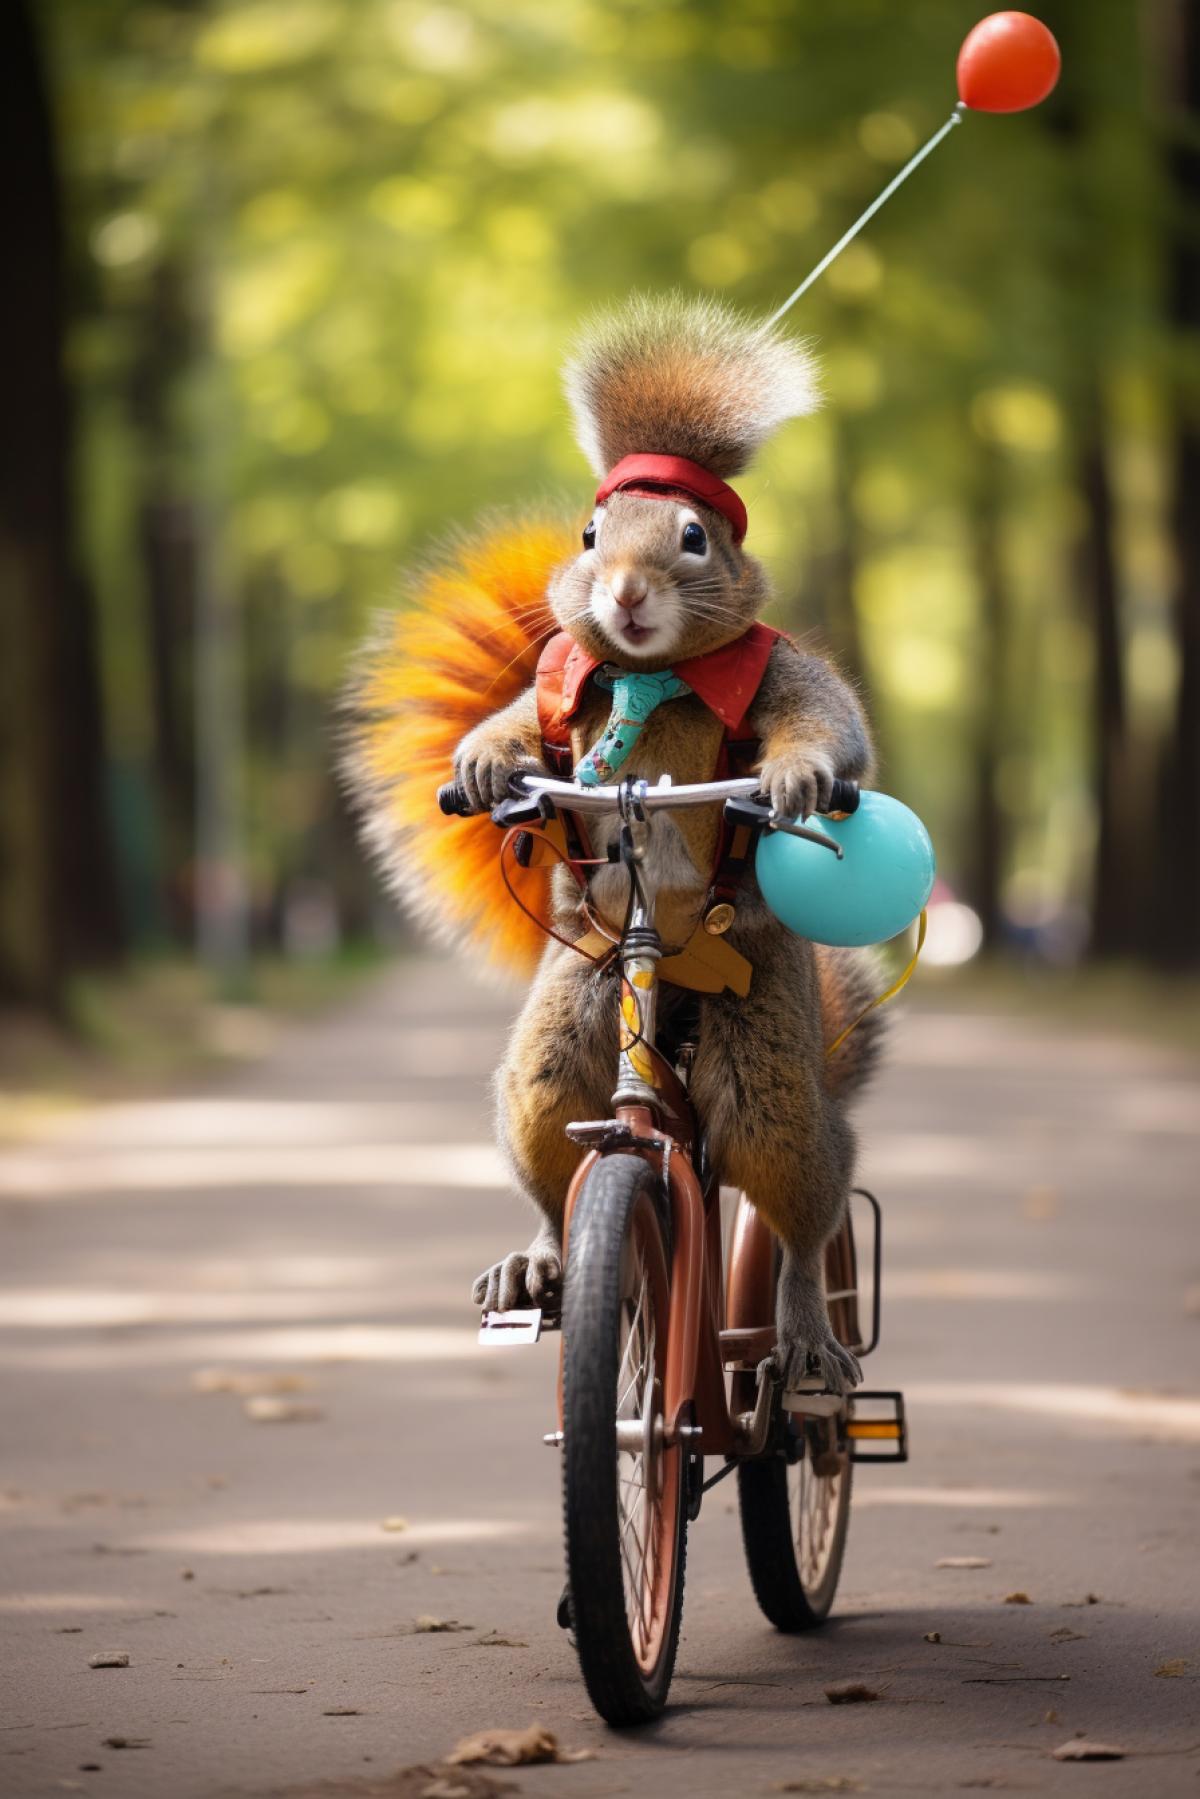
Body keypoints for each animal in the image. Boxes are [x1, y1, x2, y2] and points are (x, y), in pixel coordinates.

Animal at [344, 293, 884, 1395]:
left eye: (694, 536)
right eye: (590, 533)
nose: (627, 591)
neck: (653, 674)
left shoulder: (785, 674)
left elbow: (825, 721)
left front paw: (799, 776)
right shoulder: (562, 681)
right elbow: (523, 720)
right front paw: (485, 761)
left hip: (765, 1041)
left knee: (799, 1201)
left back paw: (805, 1326)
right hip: (572, 1013)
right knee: (559, 1145)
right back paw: (538, 1260)